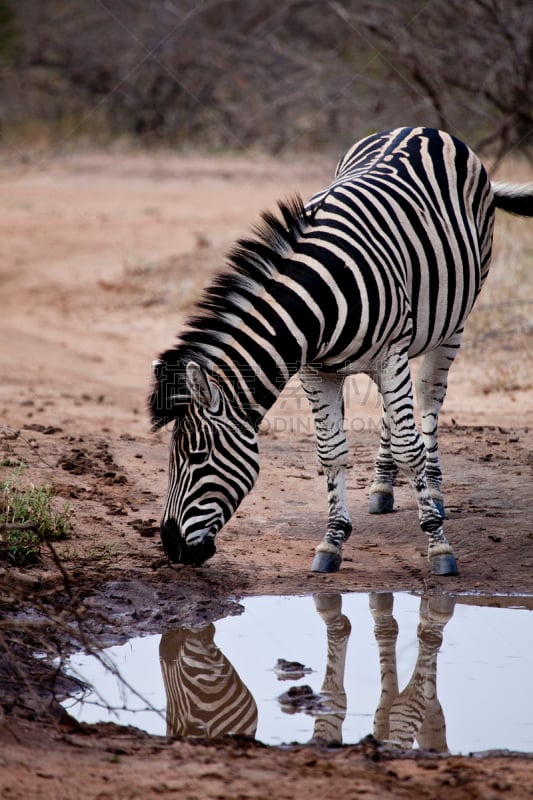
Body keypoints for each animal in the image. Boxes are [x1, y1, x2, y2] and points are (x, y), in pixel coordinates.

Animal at [149, 125, 532, 576]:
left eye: (197, 456)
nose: (171, 546)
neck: (318, 301)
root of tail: (422, 127)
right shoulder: (317, 370)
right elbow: (331, 452)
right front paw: (332, 541)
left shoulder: (389, 354)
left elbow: (410, 448)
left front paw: (438, 545)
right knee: (393, 412)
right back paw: (383, 485)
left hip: (453, 322)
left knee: (429, 401)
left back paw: (434, 492)